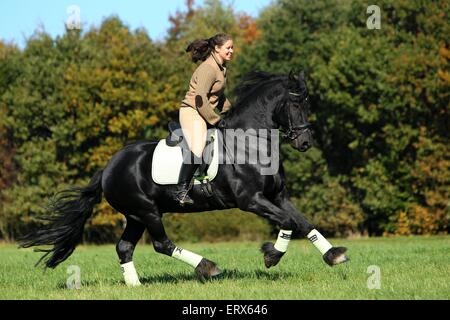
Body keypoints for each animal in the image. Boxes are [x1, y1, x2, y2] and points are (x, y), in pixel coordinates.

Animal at [20, 70, 348, 284]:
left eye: (308, 103)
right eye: (296, 104)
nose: (305, 142)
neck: (251, 142)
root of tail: (108, 168)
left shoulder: (278, 196)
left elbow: (304, 222)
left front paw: (334, 255)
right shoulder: (251, 200)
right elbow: (288, 222)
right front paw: (271, 256)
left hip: (135, 216)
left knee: (124, 248)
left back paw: (135, 286)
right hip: (147, 211)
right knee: (162, 244)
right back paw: (207, 267)